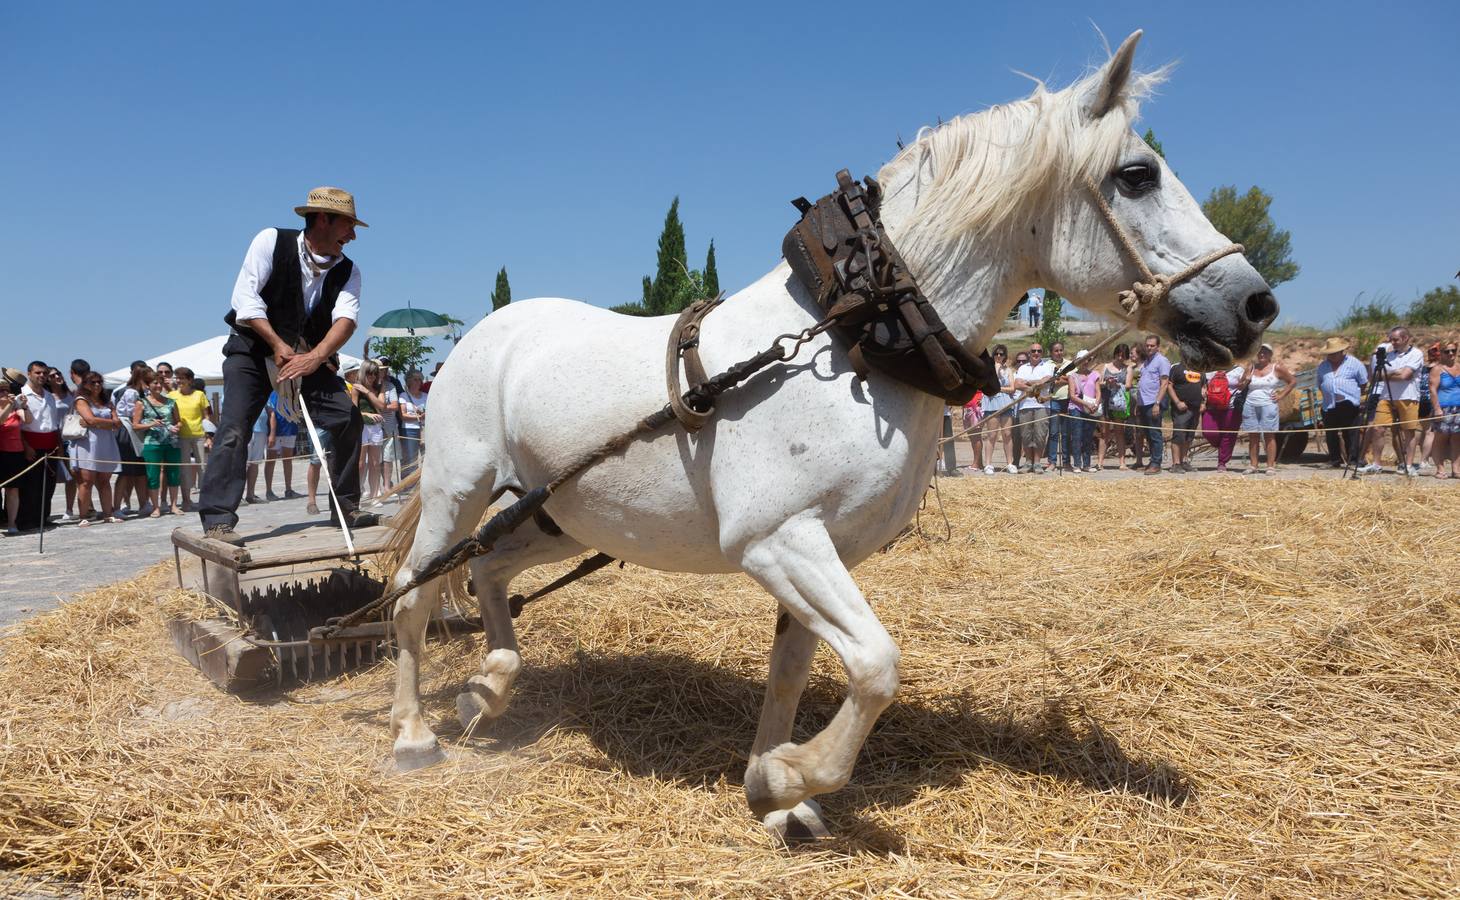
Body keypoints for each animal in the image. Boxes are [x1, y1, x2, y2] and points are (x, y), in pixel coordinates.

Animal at [382, 33, 1273, 835]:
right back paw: (413, 736)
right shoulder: (778, 539)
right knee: (415, 594)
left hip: (559, 515)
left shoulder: (823, 549)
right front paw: (790, 775)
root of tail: (488, 329)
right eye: (1138, 175)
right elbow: (876, 666)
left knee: (489, 574)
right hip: (458, 491)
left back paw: (488, 688)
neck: (855, 339)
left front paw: (777, 794)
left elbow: (791, 671)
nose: (1255, 304)